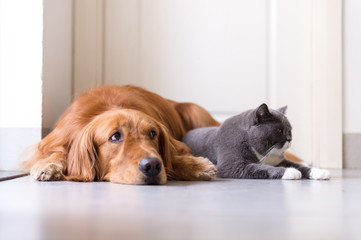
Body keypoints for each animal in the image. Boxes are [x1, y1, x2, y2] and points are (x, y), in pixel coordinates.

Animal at [23, 85, 219, 185]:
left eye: (153, 133)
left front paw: (196, 166)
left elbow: (170, 157)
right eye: (115, 137)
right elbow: (59, 151)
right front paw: (49, 164)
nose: (152, 166)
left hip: (195, 110)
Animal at [183, 103, 330, 180]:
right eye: (279, 130)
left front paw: (319, 172)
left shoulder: (279, 160)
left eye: (290, 130)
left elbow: (299, 166)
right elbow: (259, 167)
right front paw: (290, 172)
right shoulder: (230, 166)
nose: (289, 139)